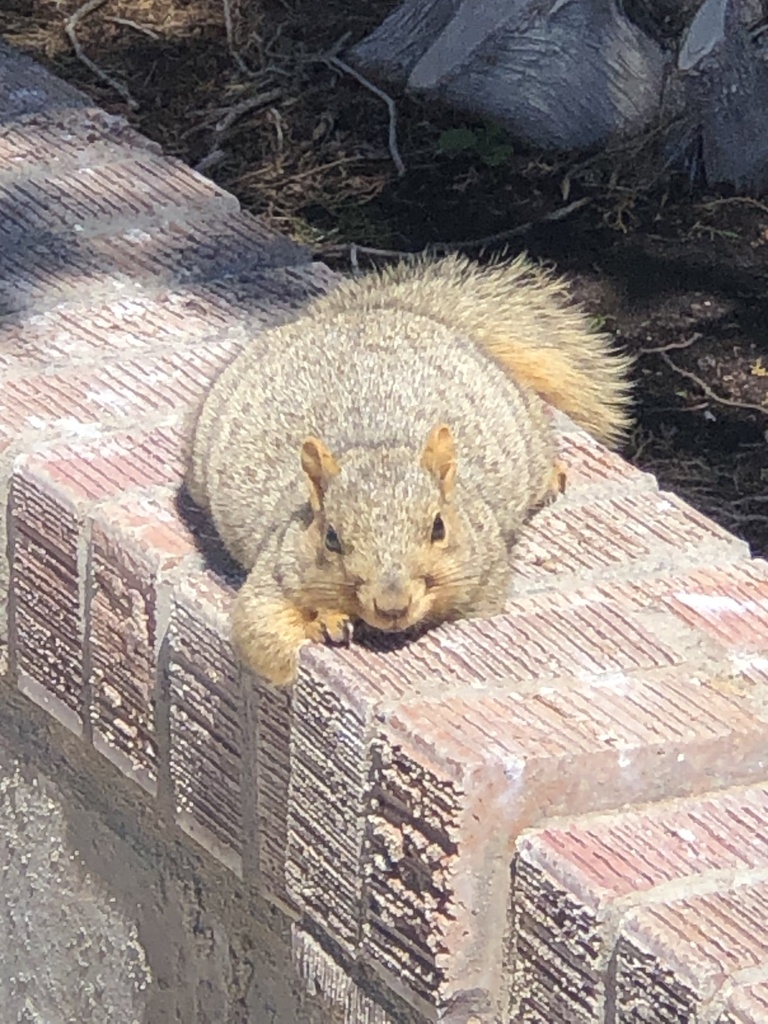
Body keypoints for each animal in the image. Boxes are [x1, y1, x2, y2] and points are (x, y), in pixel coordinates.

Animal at [186, 251, 630, 684]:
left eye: (439, 528)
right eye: (331, 538)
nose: (392, 606)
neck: (376, 444)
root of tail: (378, 313)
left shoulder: (484, 575)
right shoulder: (276, 572)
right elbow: (262, 636)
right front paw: (325, 620)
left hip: (525, 430)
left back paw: (554, 476)